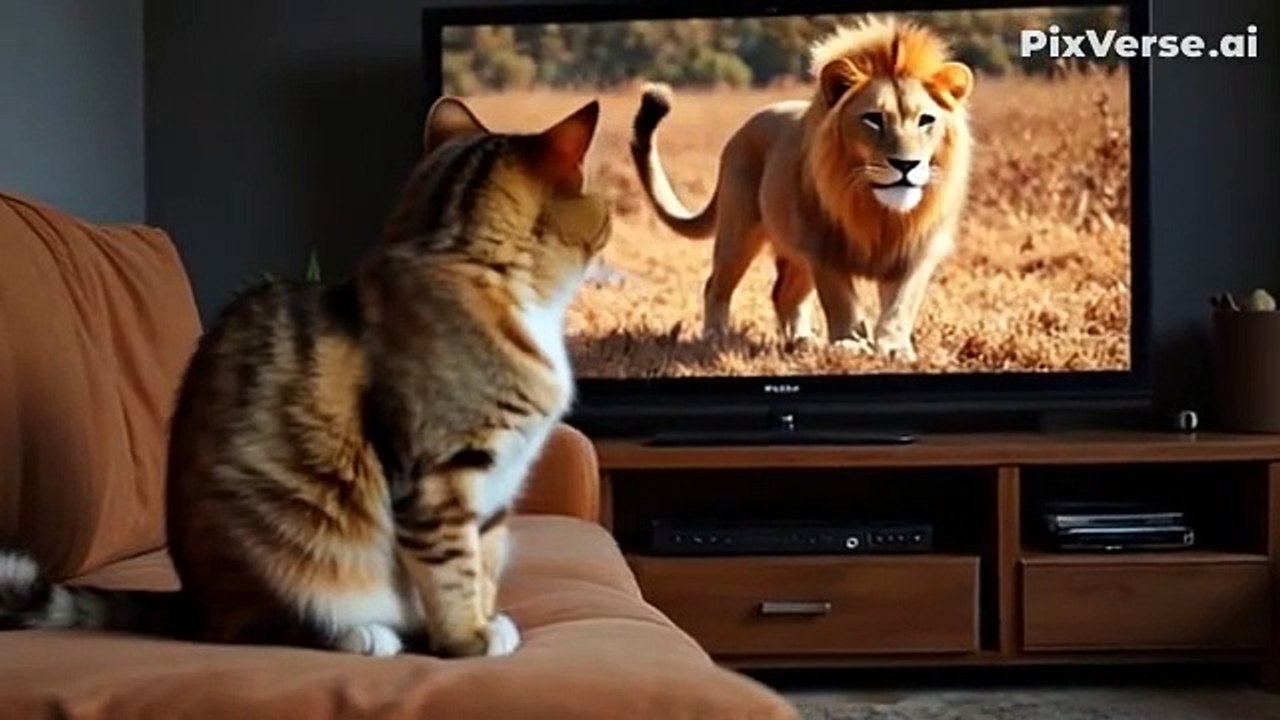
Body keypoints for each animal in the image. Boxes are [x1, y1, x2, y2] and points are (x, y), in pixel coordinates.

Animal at [629, 17, 975, 362]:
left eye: (925, 120)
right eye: (874, 119)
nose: (907, 164)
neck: (879, 210)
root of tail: (742, 130)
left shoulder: (918, 250)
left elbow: (901, 306)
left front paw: (894, 348)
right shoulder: (822, 247)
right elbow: (843, 302)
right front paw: (850, 344)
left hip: (794, 254)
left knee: (784, 294)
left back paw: (802, 341)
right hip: (740, 232)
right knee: (716, 285)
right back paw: (716, 337)